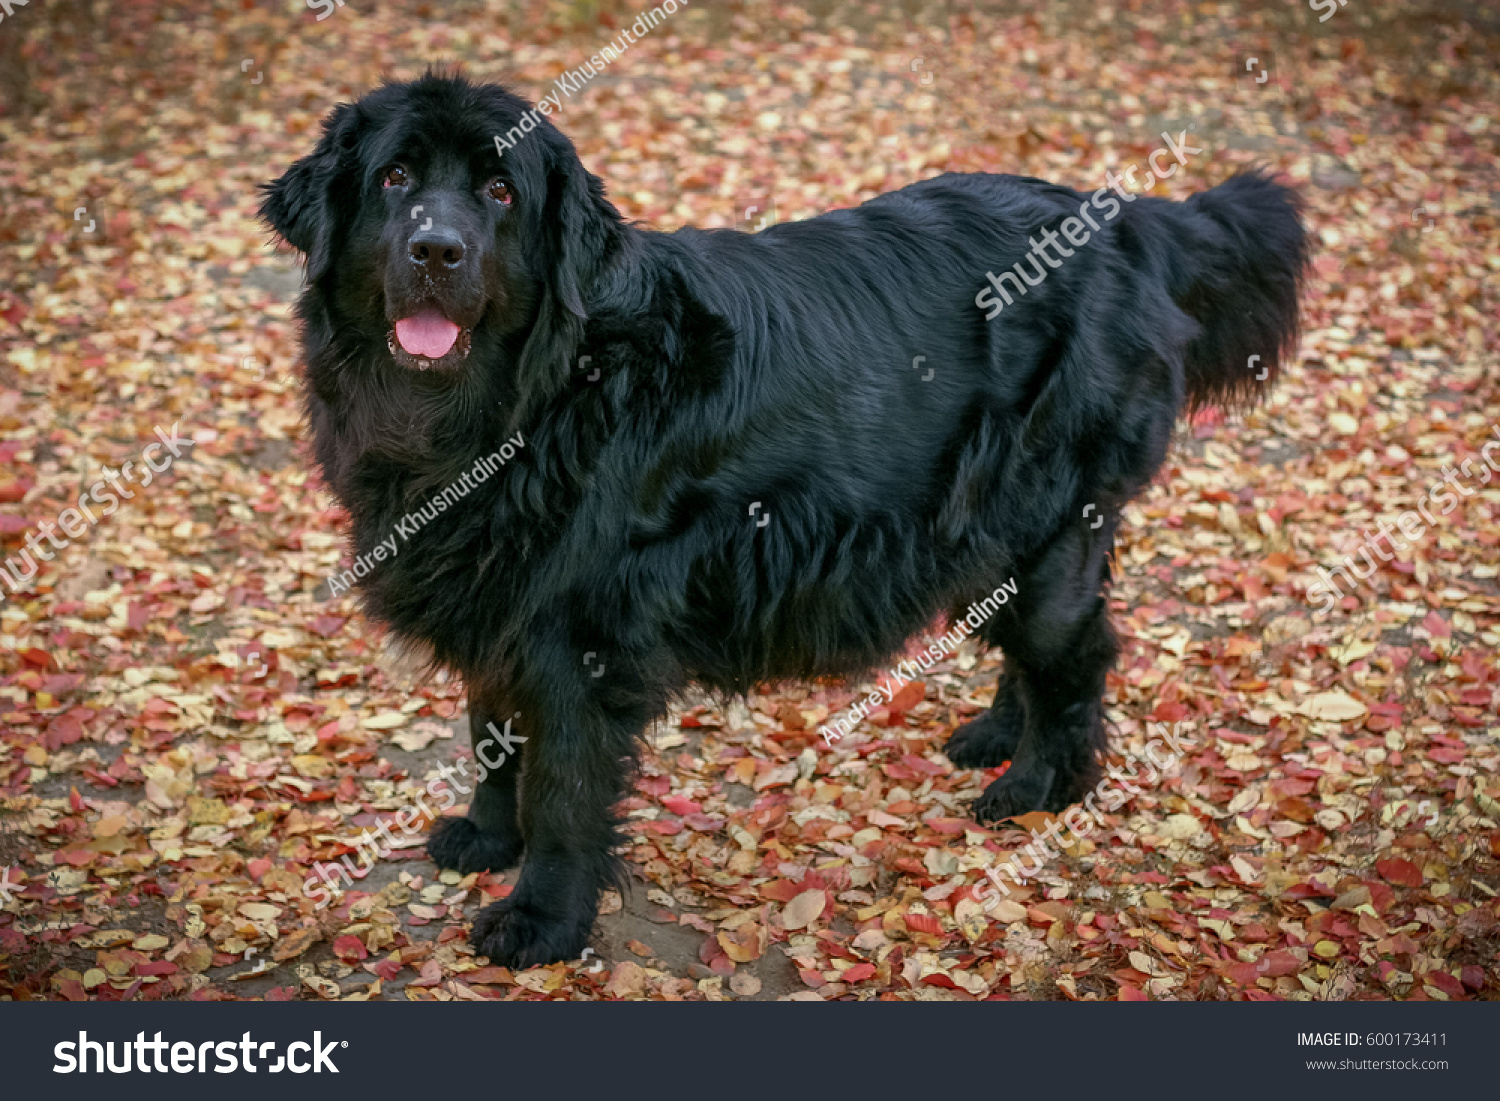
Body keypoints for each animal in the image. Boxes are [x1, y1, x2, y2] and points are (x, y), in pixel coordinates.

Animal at [264, 73, 1308, 972]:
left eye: (498, 191)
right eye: (395, 178)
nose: (437, 250)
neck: (521, 402)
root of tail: (1132, 222)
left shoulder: (581, 633)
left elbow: (561, 786)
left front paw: (542, 918)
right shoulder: (498, 596)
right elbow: (490, 727)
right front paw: (486, 834)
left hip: (1050, 516)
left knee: (1076, 653)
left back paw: (1035, 785)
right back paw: (995, 735)